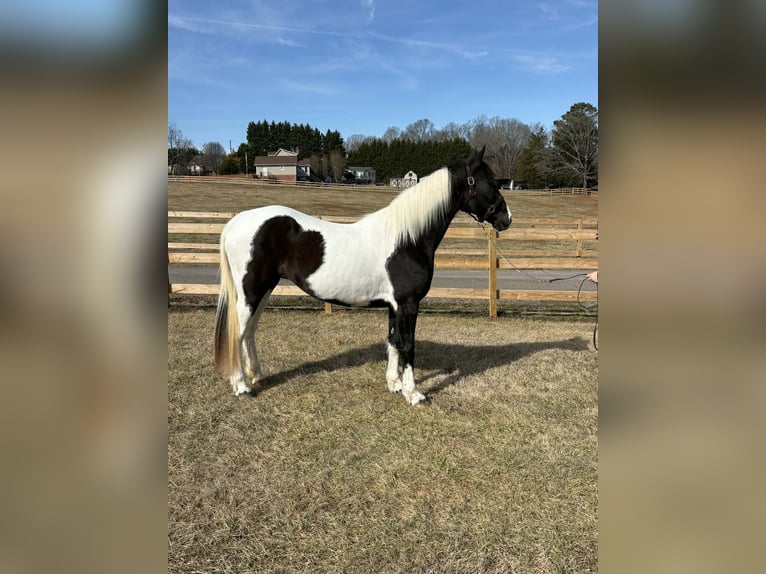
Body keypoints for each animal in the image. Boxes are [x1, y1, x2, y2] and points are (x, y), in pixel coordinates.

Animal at [214, 146, 511, 405]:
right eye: (490, 182)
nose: (506, 219)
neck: (407, 238)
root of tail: (236, 222)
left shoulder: (395, 305)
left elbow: (393, 341)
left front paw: (394, 385)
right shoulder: (408, 304)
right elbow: (408, 346)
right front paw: (414, 394)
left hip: (264, 290)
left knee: (249, 332)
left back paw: (257, 376)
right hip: (252, 292)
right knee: (237, 333)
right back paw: (242, 387)